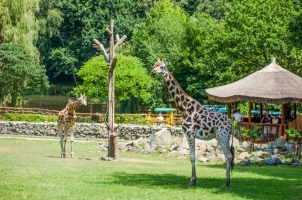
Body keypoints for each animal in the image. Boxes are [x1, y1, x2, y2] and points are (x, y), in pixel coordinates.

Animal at [152, 58, 235, 187]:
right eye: (155, 65)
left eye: (162, 67)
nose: (153, 72)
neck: (184, 106)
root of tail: (231, 125)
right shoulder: (190, 134)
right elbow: (193, 156)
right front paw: (194, 180)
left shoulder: (189, 133)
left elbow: (192, 157)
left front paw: (192, 181)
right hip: (223, 137)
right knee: (229, 156)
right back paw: (228, 182)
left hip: (222, 137)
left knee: (229, 156)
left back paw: (226, 183)